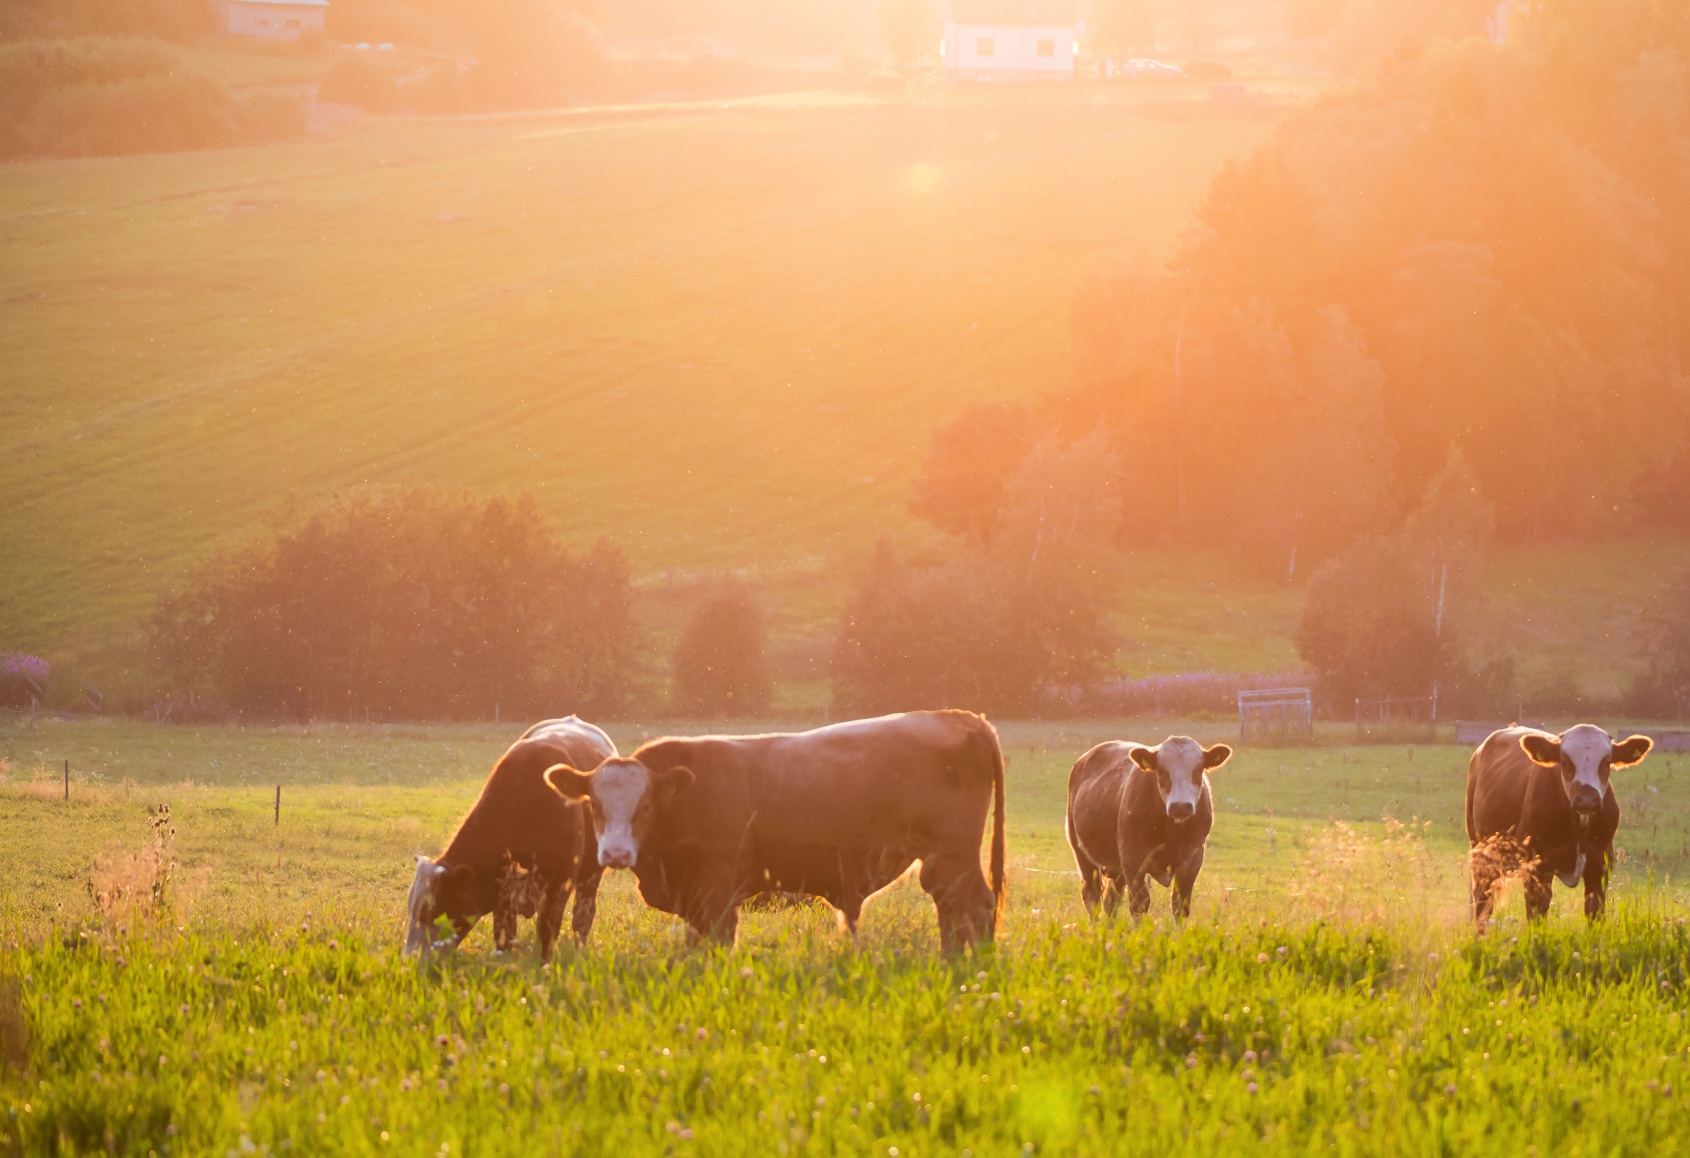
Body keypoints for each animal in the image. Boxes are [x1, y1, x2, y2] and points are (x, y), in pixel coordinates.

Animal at [405, 713, 618, 960]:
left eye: (431, 912)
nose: (410, 959)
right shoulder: (502, 894)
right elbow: (504, 937)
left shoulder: (560, 884)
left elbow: (547, 930)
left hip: (591, 875)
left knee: (582, 917)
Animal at [540, 703, 1000, 946]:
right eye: (594, 804)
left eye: (646, 805)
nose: (615, 853)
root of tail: (960, 717)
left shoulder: (717, 890)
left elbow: (717, 942)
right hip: (943, 863)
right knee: (953, 909)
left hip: (952, 856)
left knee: (975, 906)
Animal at [1068, 730, 1230, 919]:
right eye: (1162, 771)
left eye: (1197, 770)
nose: (1180, 806)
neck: (1171, 829)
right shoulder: (1133, 860)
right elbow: (1139, 904)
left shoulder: (1192, 859)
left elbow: (1180, 905)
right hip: (1082, 854)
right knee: (1092, 899)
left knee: (1111, 902)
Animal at [1466, 716, 1649, 926]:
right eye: (1564, 761)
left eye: (1606, 762)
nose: (1587, 799)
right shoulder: (1538, 867)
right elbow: (1536, 915)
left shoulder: (1600, 865)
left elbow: (1594, 913)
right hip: (1480, 850)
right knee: (1482, 903)